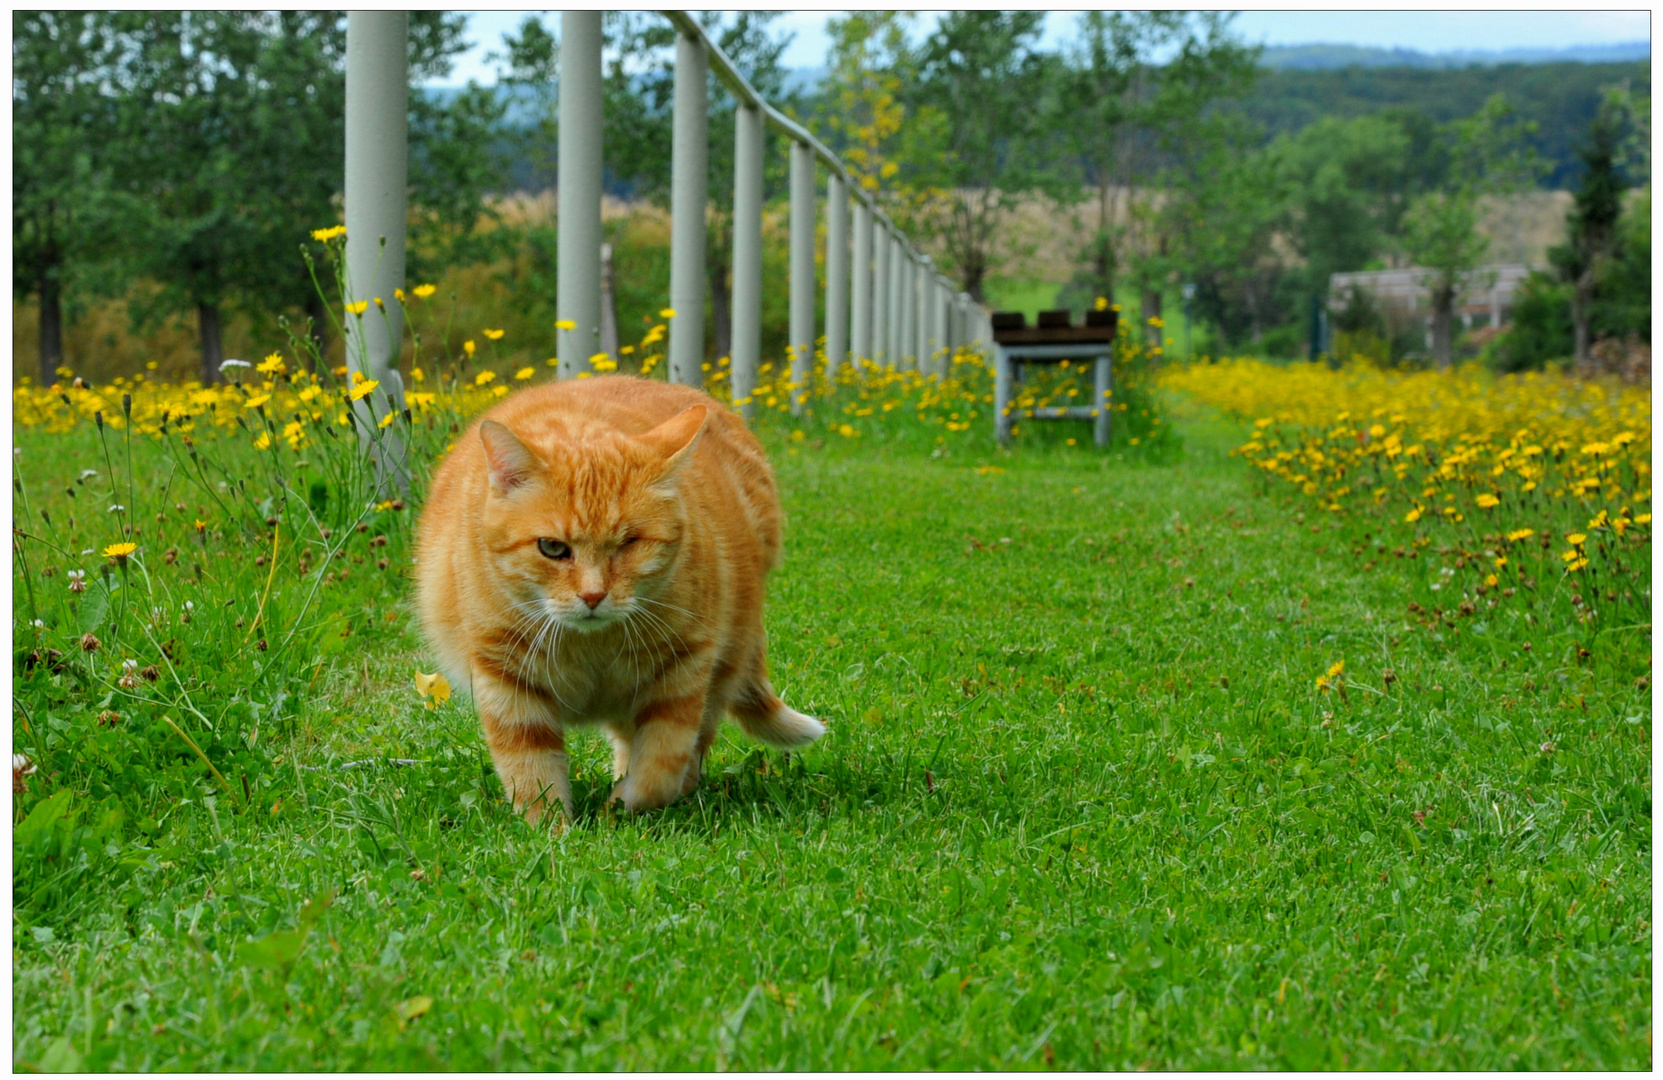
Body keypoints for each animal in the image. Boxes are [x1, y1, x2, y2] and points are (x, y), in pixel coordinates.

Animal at [412, 374, 821, 822]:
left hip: (724, 660)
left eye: (629, 543)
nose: (593, 595)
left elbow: (662, 763)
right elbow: (530, 768)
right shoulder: (504, 673)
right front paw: (553, 830)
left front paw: (625, 804)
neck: (589, 646)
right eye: (552, 548)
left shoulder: (685, 667)